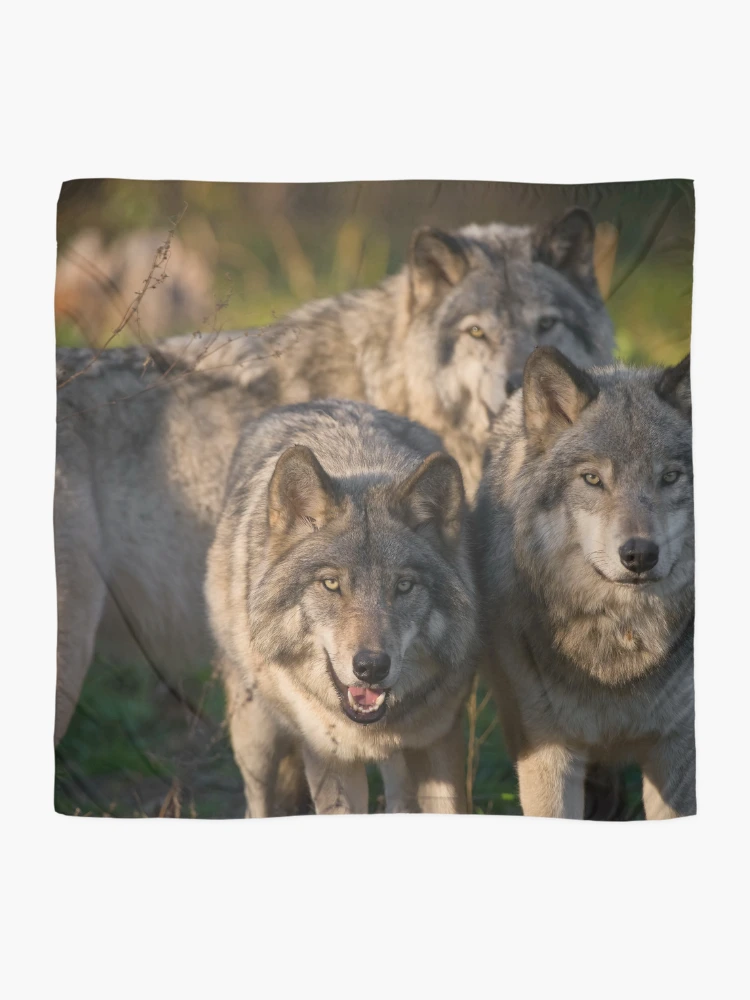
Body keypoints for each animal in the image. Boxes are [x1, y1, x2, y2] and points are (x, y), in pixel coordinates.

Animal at [204, 400, 478, 814]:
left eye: (404, 586)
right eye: (331, 584)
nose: (371, 667)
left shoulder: (439, 738)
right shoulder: (327, 758)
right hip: (255, 736)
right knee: (257, 801)